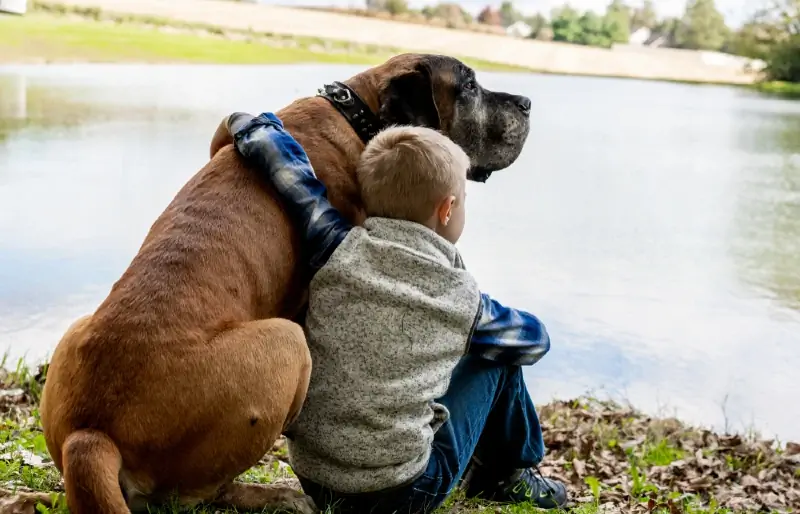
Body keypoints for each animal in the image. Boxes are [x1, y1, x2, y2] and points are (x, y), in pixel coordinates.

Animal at [40, 53, 536, 512]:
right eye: (468, 86)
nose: (528, 103)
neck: (359, 114)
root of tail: (91, 434)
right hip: (287, 344)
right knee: (197, 494)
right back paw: (275, 494)